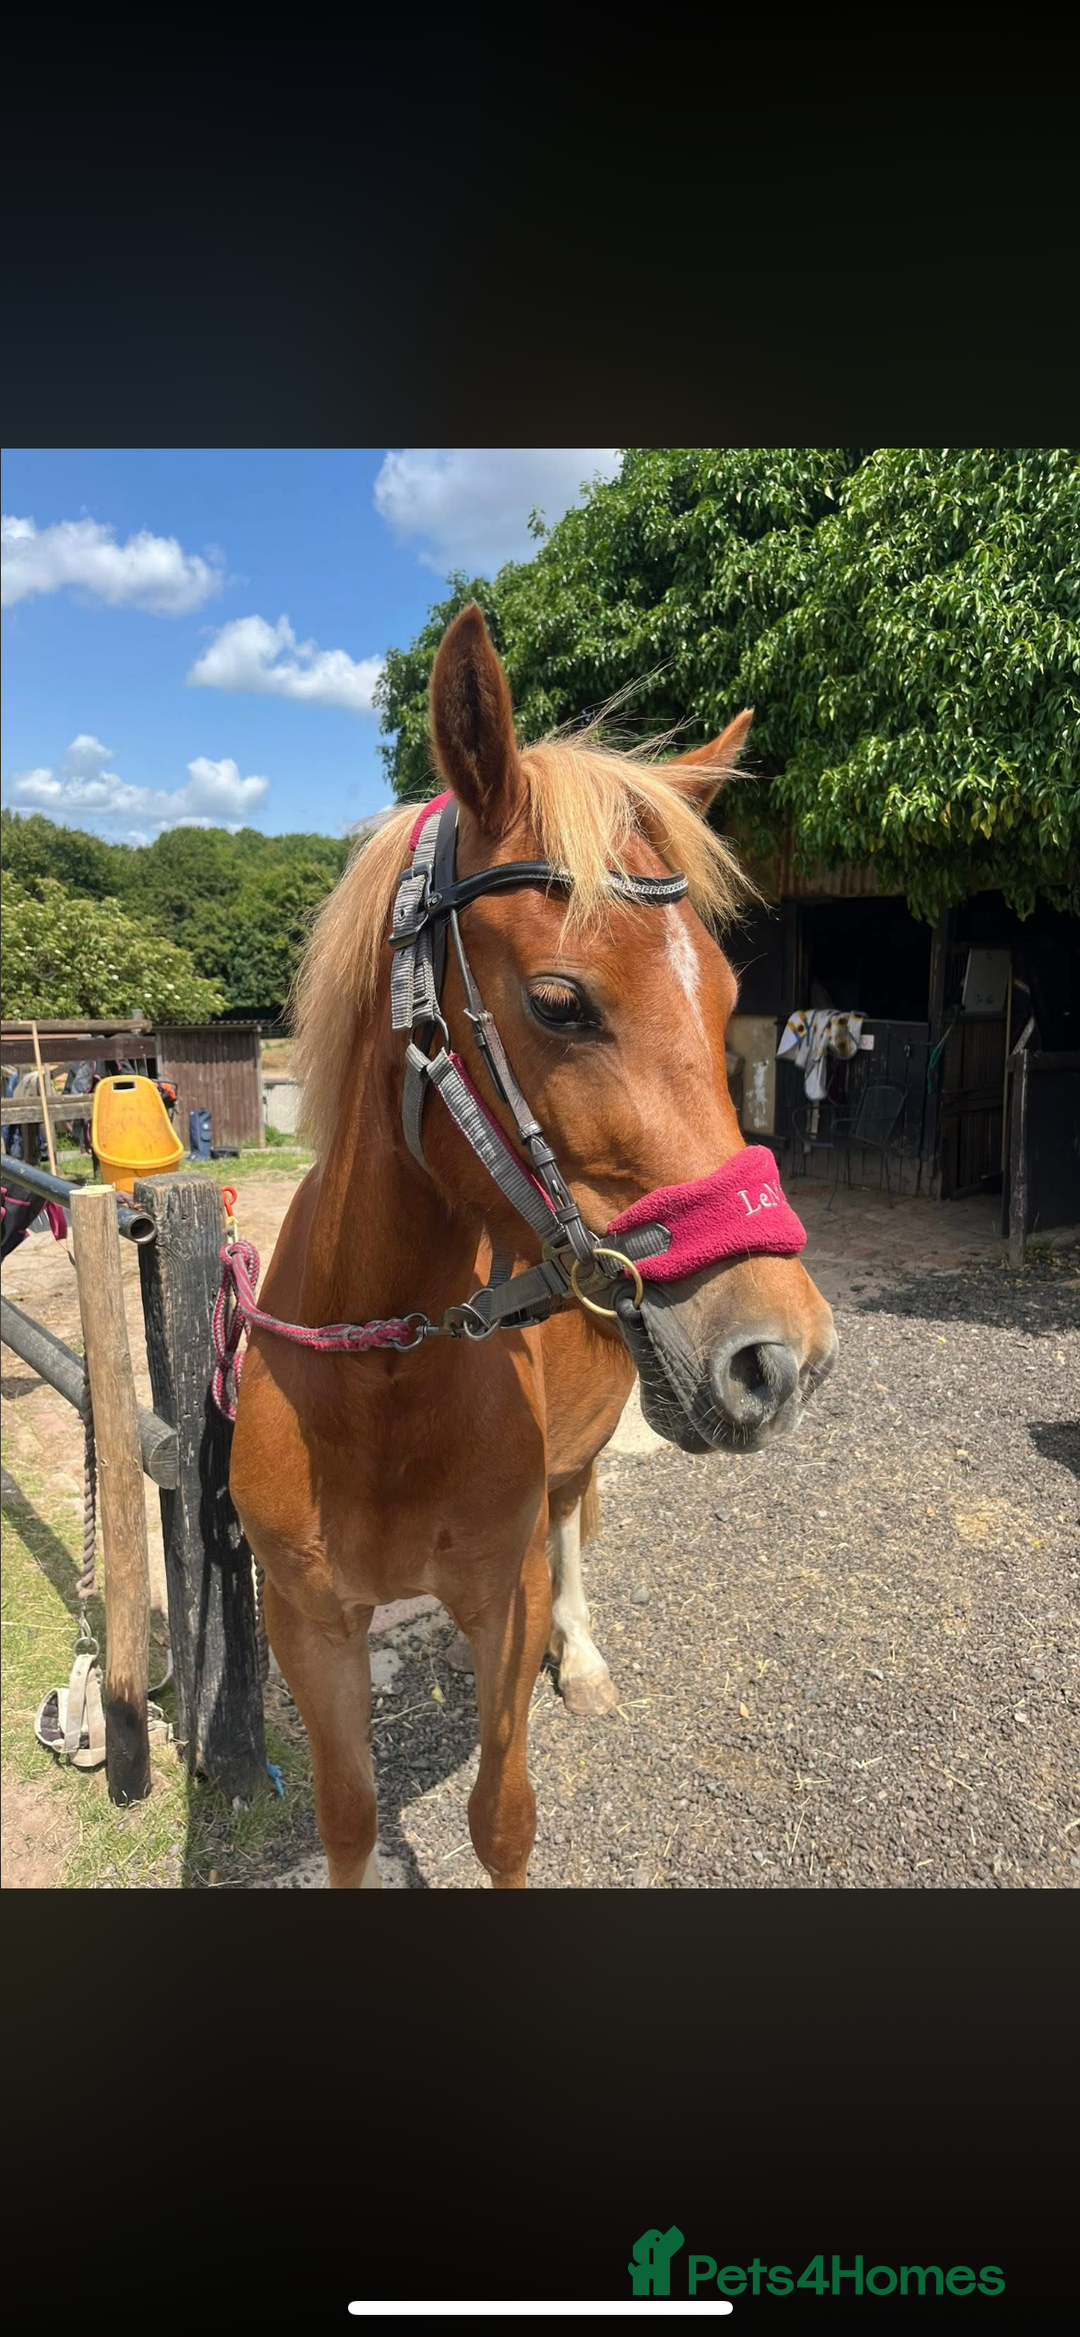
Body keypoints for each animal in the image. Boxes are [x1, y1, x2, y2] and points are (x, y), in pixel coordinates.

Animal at [229, 604, 838, 1888]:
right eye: (560, 1003)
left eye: (727, 1006)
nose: (783, 1359)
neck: (383, 1376)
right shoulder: (309, 1624)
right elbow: (349, 1819)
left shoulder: (499, 1599)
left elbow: (502, 1817)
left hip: (581, 1460)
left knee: (571, 1517)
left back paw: (587, 1655)